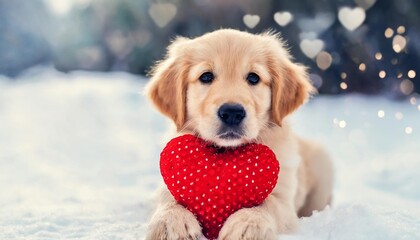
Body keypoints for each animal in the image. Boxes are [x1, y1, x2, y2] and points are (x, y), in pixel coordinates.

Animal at [146, 29, 334, 239]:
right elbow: (169, 200)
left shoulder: (284, 201)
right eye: (206, 77)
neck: (226, 151)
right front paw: (170, 222)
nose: (232, 112)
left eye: (253, 78)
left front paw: (248, 224)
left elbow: (267, 204)